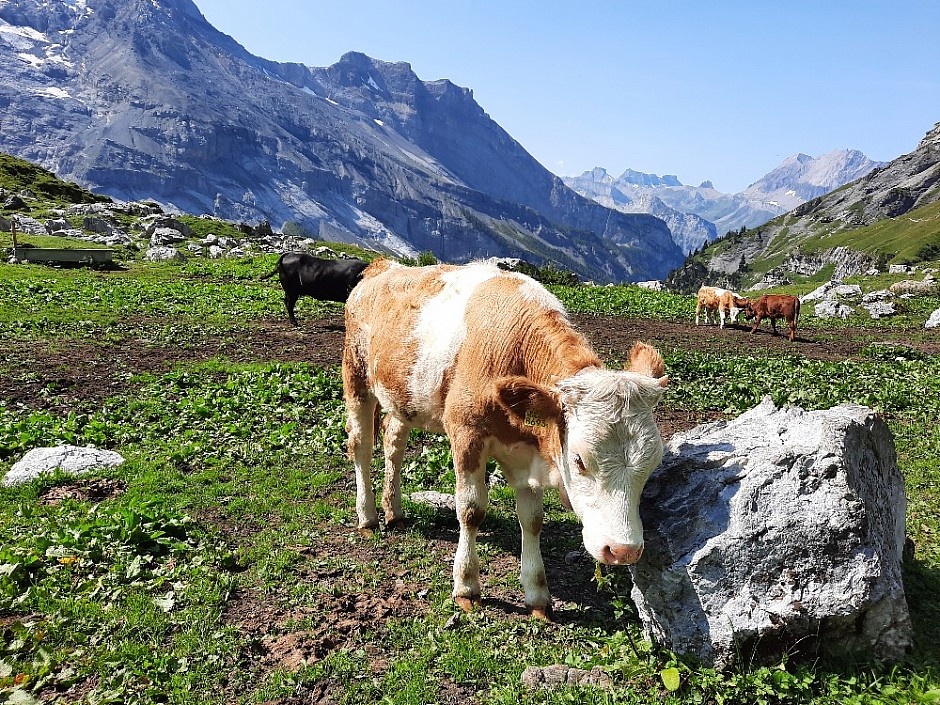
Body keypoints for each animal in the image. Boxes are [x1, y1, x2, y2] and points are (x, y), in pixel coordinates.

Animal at [344, 258, 668, 616]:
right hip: (356, 377)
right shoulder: (466, 432)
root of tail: (382, 266)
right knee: (360, 446)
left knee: (394, 441)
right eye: (579, 460)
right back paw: (368, 516)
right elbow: (471, 510)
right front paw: (466, 585)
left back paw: (394, 511)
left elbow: (533, 519)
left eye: (653, 464)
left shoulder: (529, 451)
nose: (623, 550)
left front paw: (538, 594)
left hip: (402, 397)